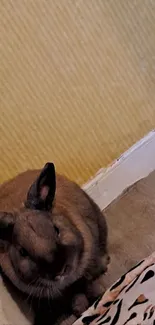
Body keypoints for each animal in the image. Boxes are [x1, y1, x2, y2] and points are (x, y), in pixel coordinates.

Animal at [0, 162, 109, 324]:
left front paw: (97, 294)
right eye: (22, 252)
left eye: (56, 230)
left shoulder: (86, 268)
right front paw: (80, 308)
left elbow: (85, 282)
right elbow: (73, 294)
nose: (59, 270)